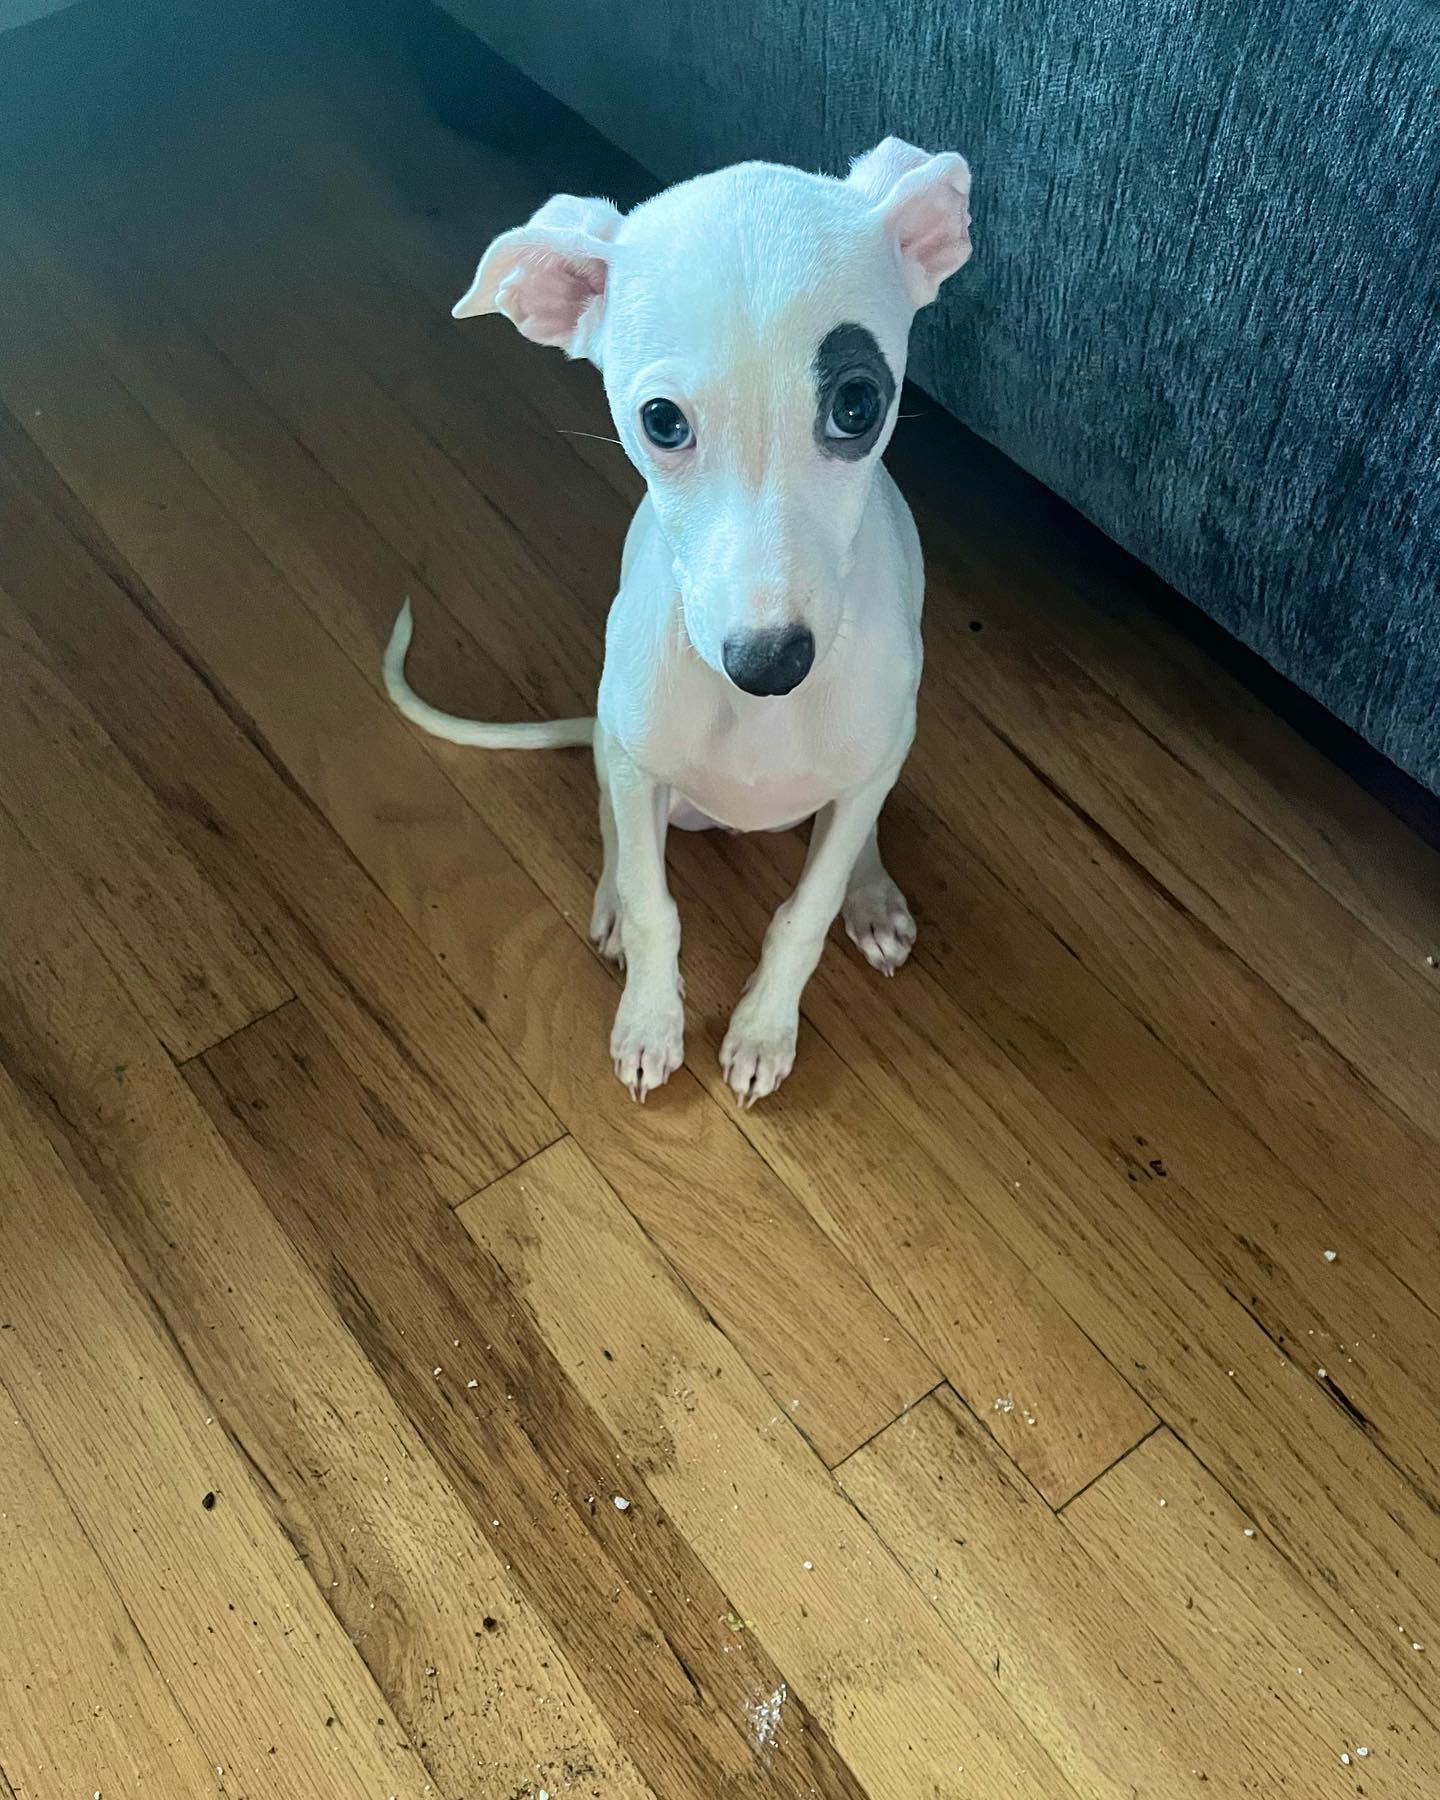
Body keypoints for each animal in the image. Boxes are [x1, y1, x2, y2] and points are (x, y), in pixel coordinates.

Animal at [385, 136, 972, 1105]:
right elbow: (656, 905)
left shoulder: (870, 755)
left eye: (858, 404)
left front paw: (765, 1030)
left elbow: (803, 913)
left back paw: (873, 891)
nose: (769, 665)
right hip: (621, 745)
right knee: (617, 824)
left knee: (857, 823)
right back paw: (611, 899)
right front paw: (650, 1021)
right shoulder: (638, 754)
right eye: (661, 420)